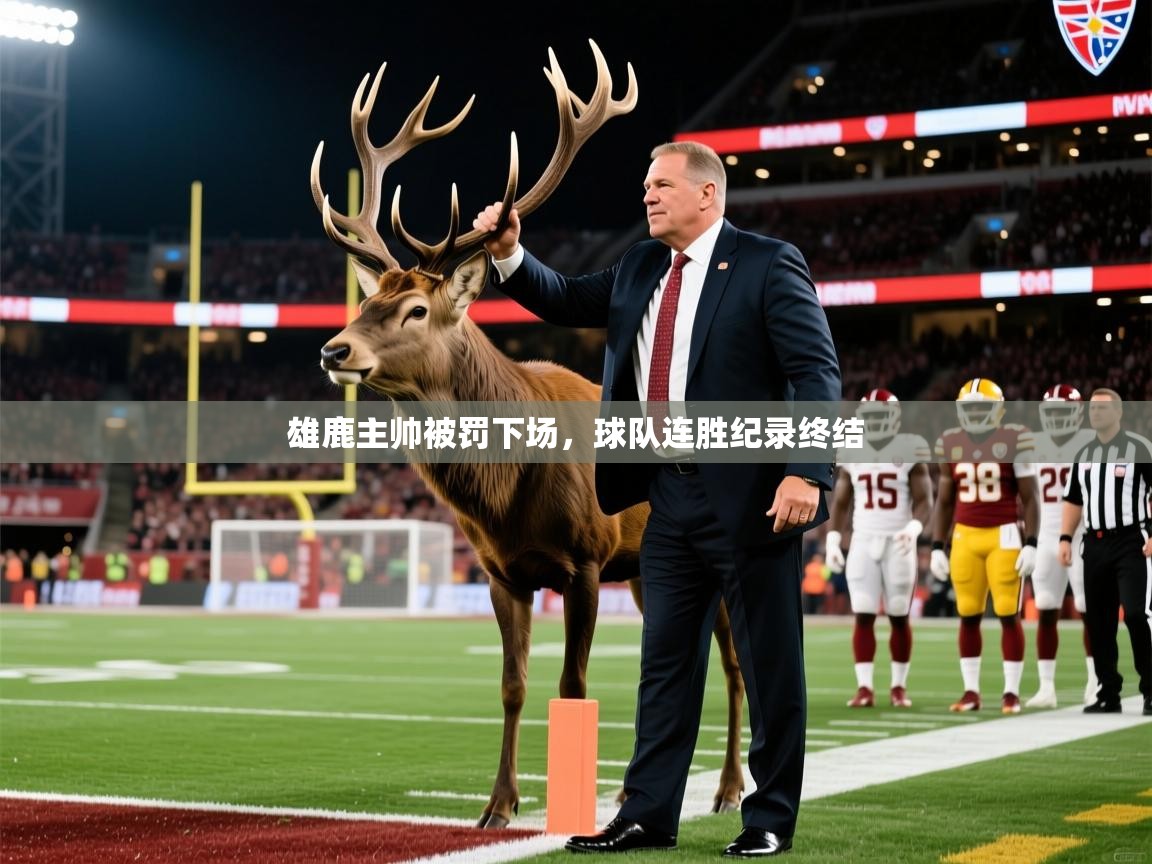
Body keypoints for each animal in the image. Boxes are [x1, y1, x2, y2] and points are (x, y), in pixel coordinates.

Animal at [313, 40, 744, 829]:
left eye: (416, 309)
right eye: (367, 301)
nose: (334, 350)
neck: (506, 496)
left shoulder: (586, 558)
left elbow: (572, 684)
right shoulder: (501, 571)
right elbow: (513, 686)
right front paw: (499, 805)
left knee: (732, 662)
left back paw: (730, 786)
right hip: (643, 570)